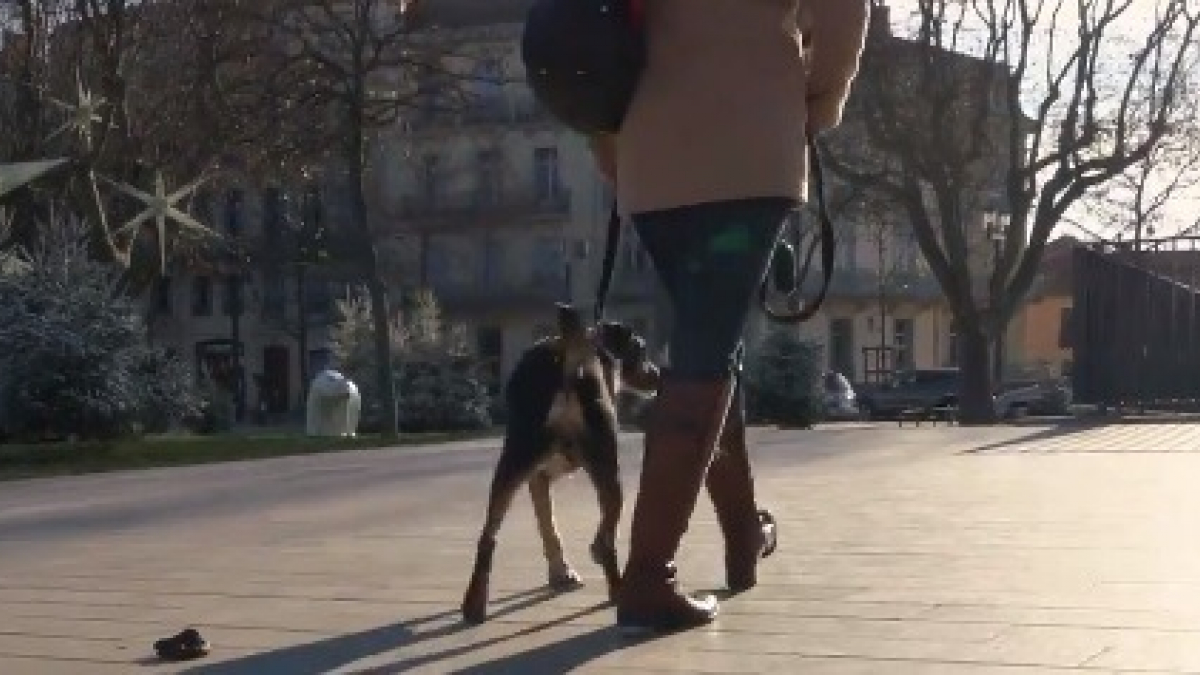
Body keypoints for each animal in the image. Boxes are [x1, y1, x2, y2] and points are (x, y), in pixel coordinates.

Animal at [463, 303, 662, 619]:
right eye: (641, 350)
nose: (657, 374)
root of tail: (569, 358)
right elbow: (601, 526)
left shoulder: (539, 478)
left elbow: (548, 527)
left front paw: (560, 573)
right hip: (608, 466)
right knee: (609, 535)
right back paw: (617, 588)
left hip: (513, 461)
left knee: (488, 536)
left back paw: (474, 602)